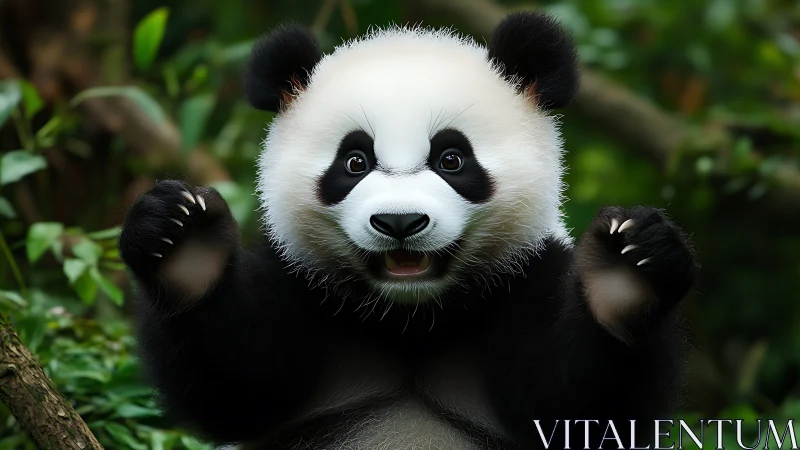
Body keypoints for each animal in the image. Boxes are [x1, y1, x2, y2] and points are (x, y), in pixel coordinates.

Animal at [119, 11, 697, 450]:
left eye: (451, 158)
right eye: (354, 161)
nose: (400, 222)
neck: (413, 317)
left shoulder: (529, 276)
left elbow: (577, 405)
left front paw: (624, 272)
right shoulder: (300, 283)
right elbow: (239, 383)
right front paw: (185, 244)